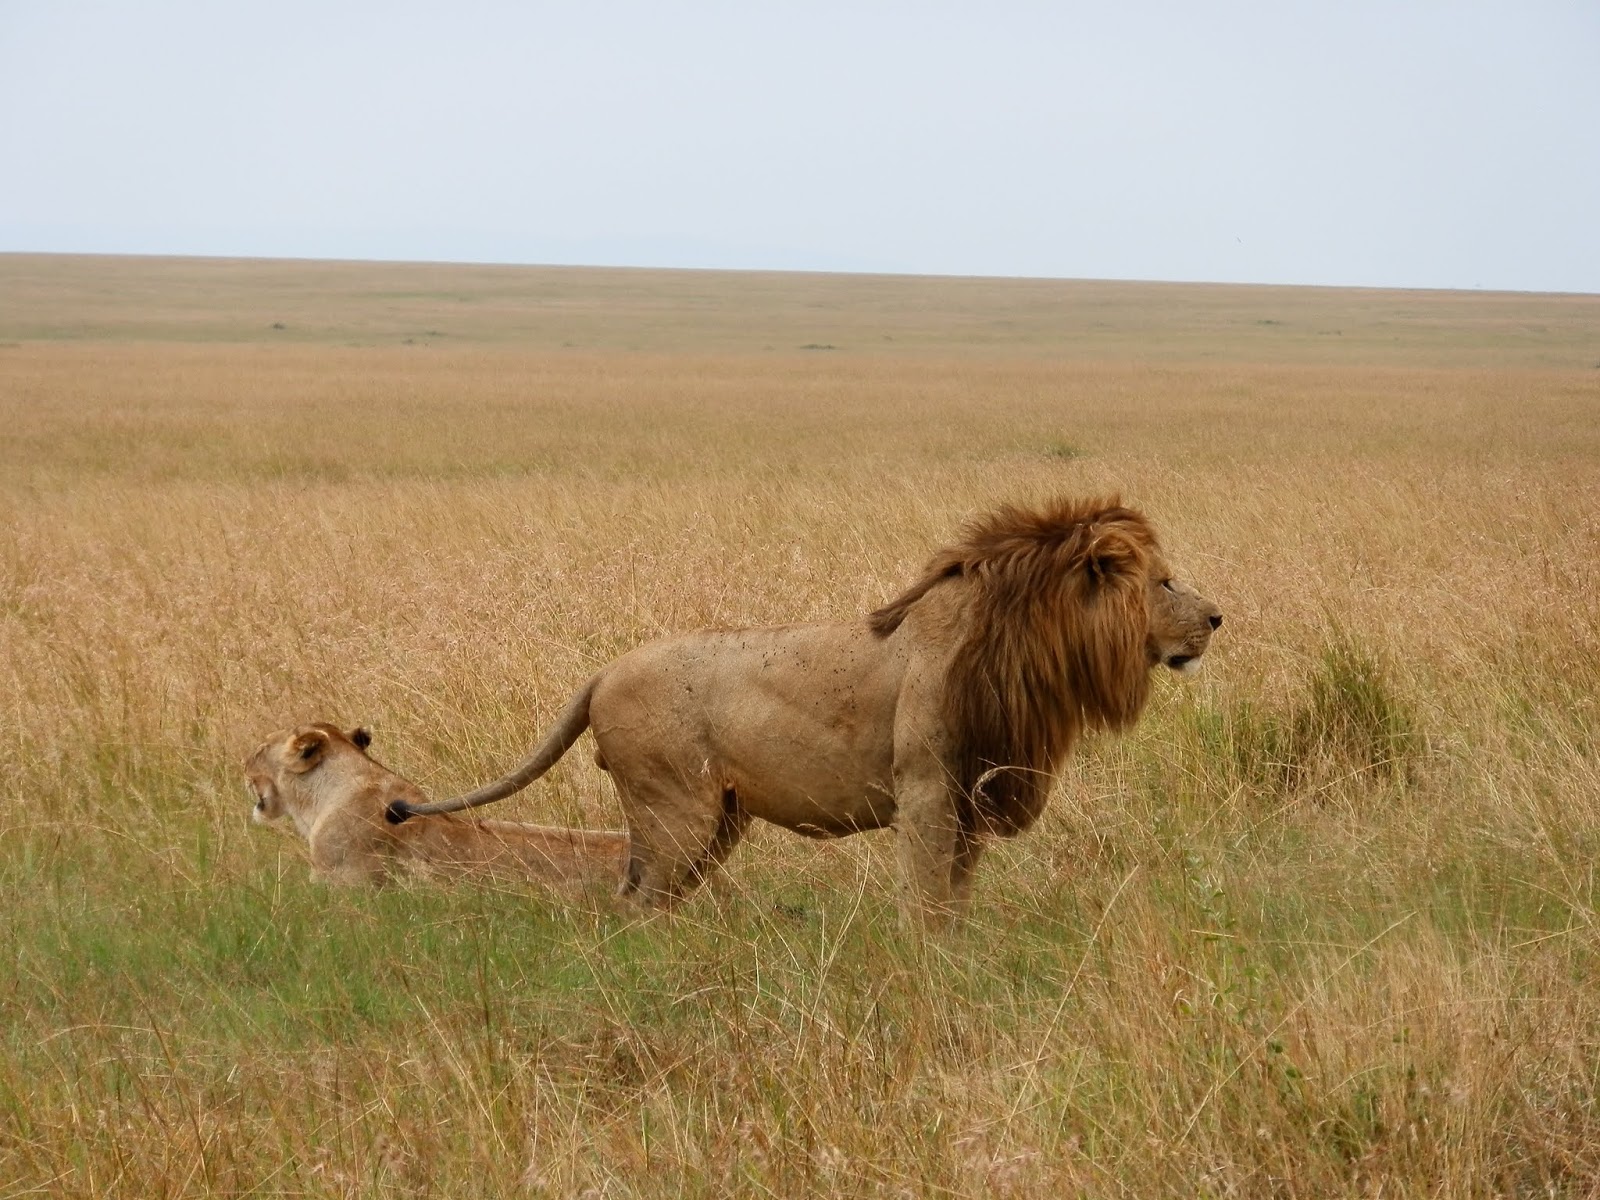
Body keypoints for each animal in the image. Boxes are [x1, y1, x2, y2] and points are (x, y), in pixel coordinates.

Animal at [388, 496, 1222, 923]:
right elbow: (926, 898)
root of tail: (601, 673)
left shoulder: (974, 796)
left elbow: (956, 897)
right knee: (636, 901)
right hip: (675, 808)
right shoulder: (928, 791)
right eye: (1164, 582)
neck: (1023, 646)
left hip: (718, 819)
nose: (1217, 618)